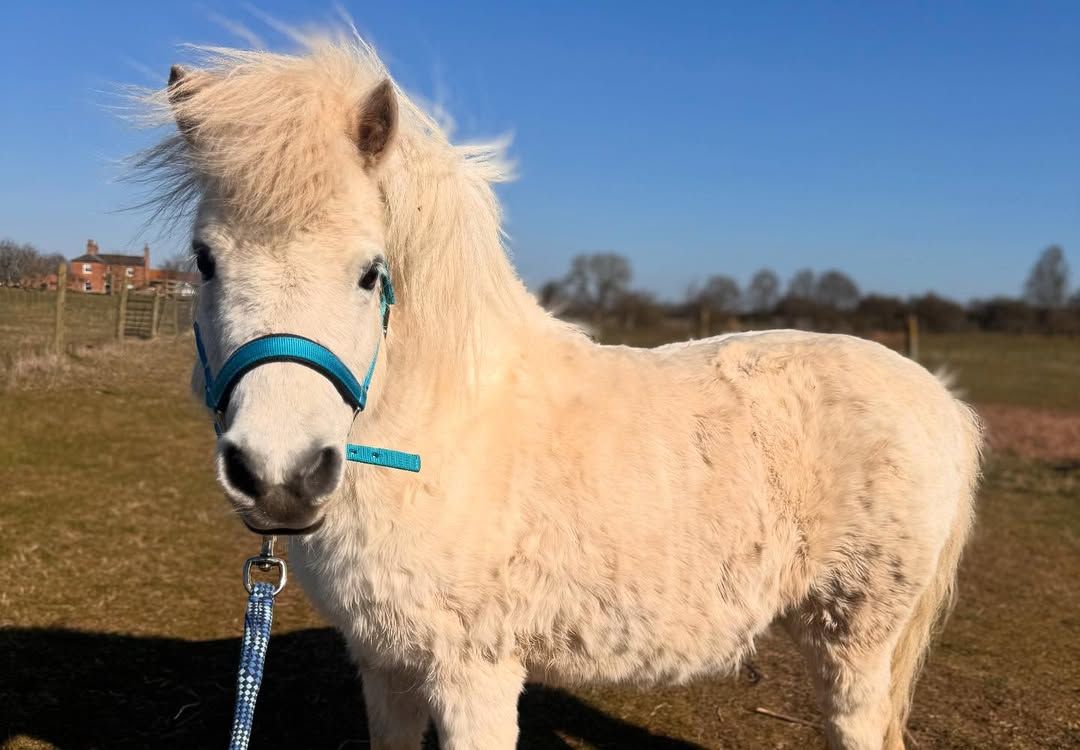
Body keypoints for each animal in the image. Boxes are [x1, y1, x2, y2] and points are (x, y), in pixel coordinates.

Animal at [136, 34, 982, 750]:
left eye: (370, 272)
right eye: (205, 261)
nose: (278, 477)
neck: (442, 436)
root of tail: (941, 401)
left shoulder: (473, 673)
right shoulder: (385, 665)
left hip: (856, 638)